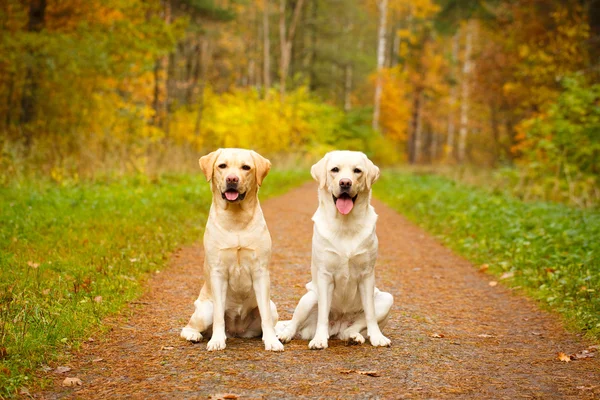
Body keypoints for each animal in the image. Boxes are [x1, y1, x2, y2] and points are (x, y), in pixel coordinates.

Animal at [179, 147, 284, 350]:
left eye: (246, 167)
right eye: (222, 166)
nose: (232, 179)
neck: (236, 221)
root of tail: (236, 330)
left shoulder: (260, 272)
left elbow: (266, 317)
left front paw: (272, 342)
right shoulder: (218, 273)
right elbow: (219, 316)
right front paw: (217, 341)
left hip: (272, 305)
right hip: (205, 309)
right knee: (188, 327)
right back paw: (194, 335)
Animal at [276, 152, 394, 348]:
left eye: (357, 171)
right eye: (334, 170)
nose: (345, 183)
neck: (346, 224)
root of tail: (338, 324)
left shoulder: (367, 275)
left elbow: (370, 314)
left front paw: (378, 337)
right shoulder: (325, 276)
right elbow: (323, 314)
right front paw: (319, 340)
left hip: (386, 299)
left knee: (351, 328)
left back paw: (354, 337)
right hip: (309, 298)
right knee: (294, 323)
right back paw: (285, 335)